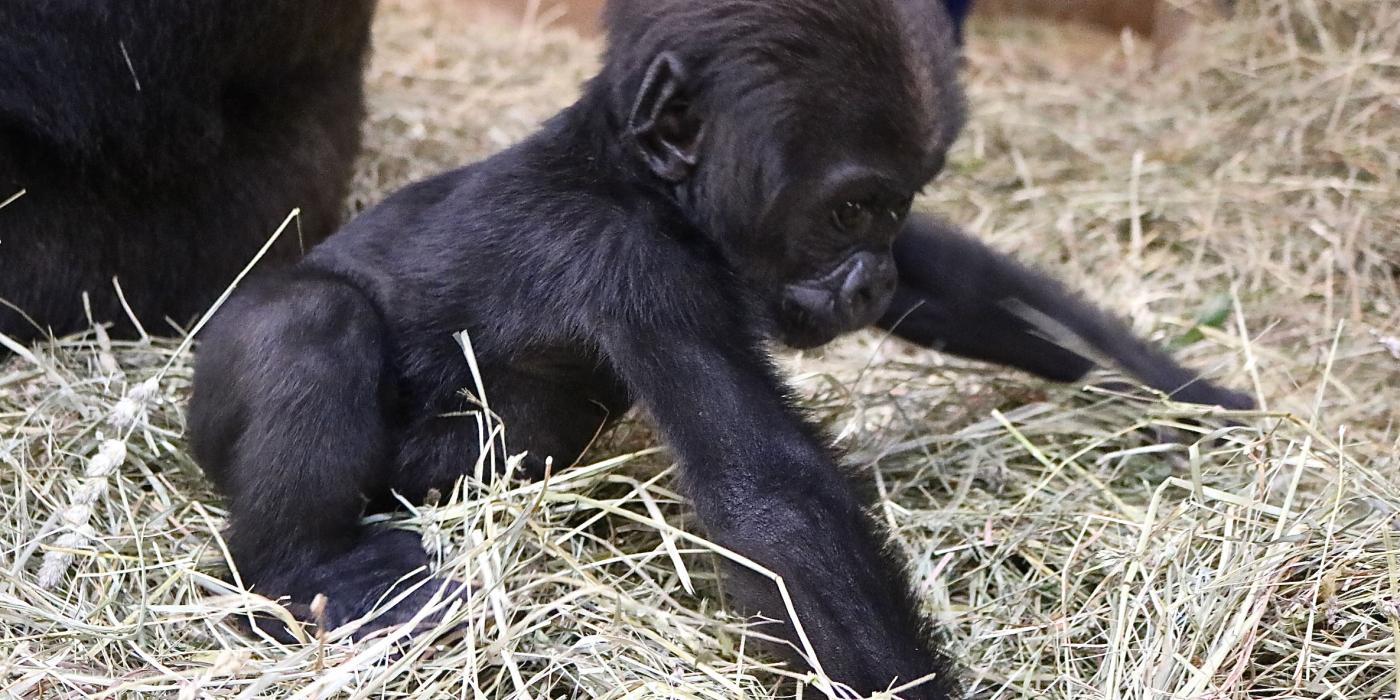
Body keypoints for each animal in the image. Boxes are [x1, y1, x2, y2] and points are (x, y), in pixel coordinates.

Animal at [191, 0, 1254, 694]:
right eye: (848, 210)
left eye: (895, 207)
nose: (868, 281)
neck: (633, 174)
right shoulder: (633, 260)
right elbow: (770, 496)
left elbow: (957, 283)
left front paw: (1193, 396)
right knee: (309, 324)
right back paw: (303, 566)